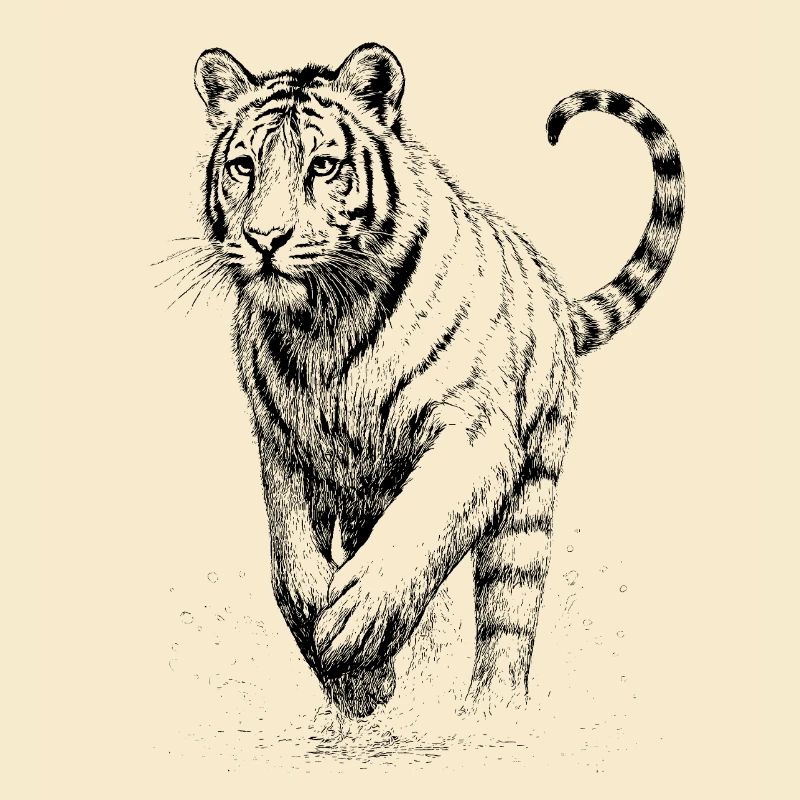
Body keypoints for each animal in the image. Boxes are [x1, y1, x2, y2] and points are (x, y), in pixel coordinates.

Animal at [188, 43, 684, 718]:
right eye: (243, 167)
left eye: (322, 166)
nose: (264, 239)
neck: (323, 324)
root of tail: (556, 295)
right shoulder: (283, 441)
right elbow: (290, 557)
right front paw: (348, 671)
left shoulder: (474, 432)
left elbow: (419, 527)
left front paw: (355, 626)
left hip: (531, 494)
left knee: (508, 609)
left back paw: (491, 713)